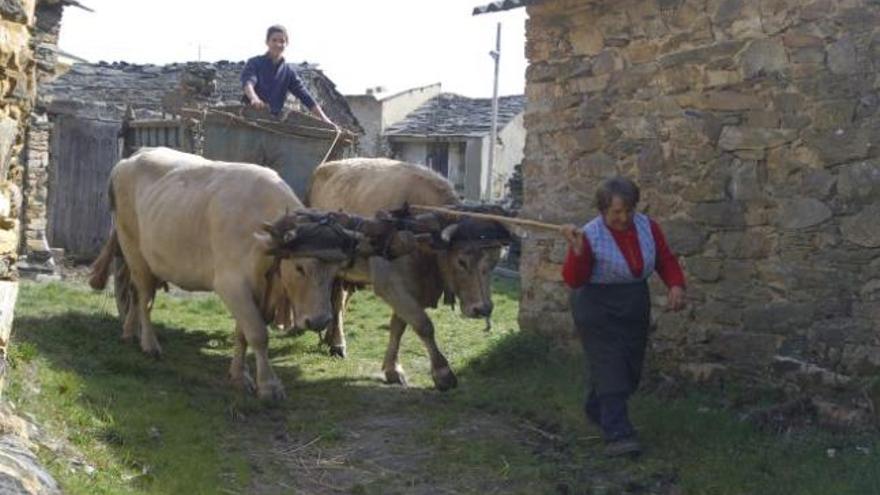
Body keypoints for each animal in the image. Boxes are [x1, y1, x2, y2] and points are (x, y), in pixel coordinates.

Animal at [89, 147, 363, 402]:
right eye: (299, 267)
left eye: (335, 270)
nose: (319, 321)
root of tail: (131, 157)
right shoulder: (231, 285)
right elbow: (258, 334)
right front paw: (269, 386)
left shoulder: (253, 290)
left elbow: (242, 334)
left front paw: (239, 376)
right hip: (133, 250)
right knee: (144, 297)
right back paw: (149, 344)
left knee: (135, 293)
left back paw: (129, 332)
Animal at [307, 158, 511, 391]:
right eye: (461, 261)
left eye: (495, 261)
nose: (483, 309)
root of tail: (325, 167)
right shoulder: (390, 284)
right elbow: (424, 325)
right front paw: (443, 372)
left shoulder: (411, 288)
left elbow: (399, 326)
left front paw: (392, 369)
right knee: (338, 302)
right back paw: (337, 342)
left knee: (339, 302)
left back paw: (331, 338)